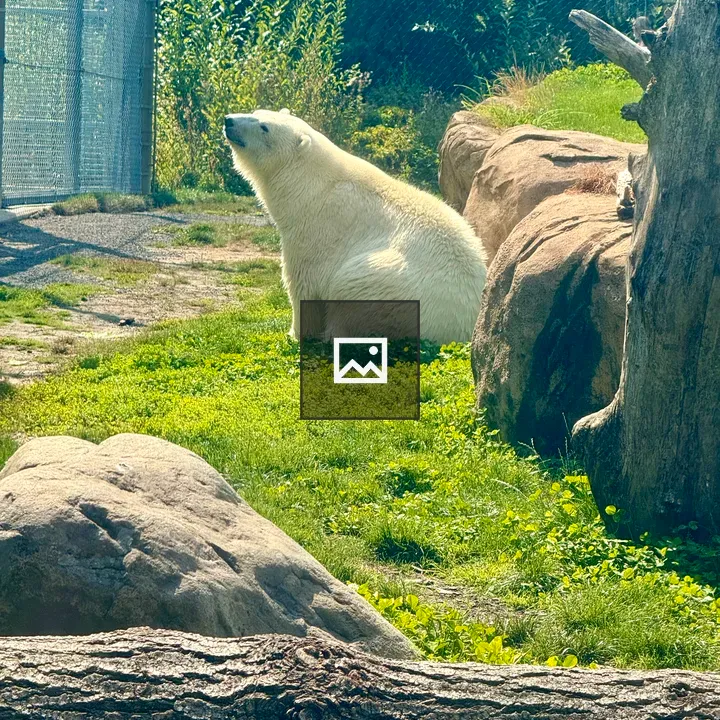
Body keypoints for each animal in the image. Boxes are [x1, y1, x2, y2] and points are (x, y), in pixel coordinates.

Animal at [224, 108, 487, 344]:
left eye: (264, 127)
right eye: (256, 112)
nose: (228, 121)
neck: (311, 184)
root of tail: (462, 327)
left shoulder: (317, 227)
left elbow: (302, 284)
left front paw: (295, 334)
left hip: (389, 286)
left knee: (349, 286)